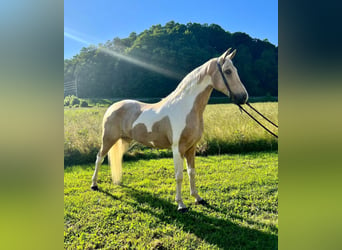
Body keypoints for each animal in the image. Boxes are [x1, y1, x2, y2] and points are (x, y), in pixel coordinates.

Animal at [90, 48, 248, 211]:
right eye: (228, 71)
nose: (243, 97)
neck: (185, 108)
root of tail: (112, 107)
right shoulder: (177, 149)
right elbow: (179, 176)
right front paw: (181, 204)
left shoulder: (191, 148)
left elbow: (191, 172)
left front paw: (197, 198)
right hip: (108, 139)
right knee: (99, 158)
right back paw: (94, 185)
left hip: (124, 140)